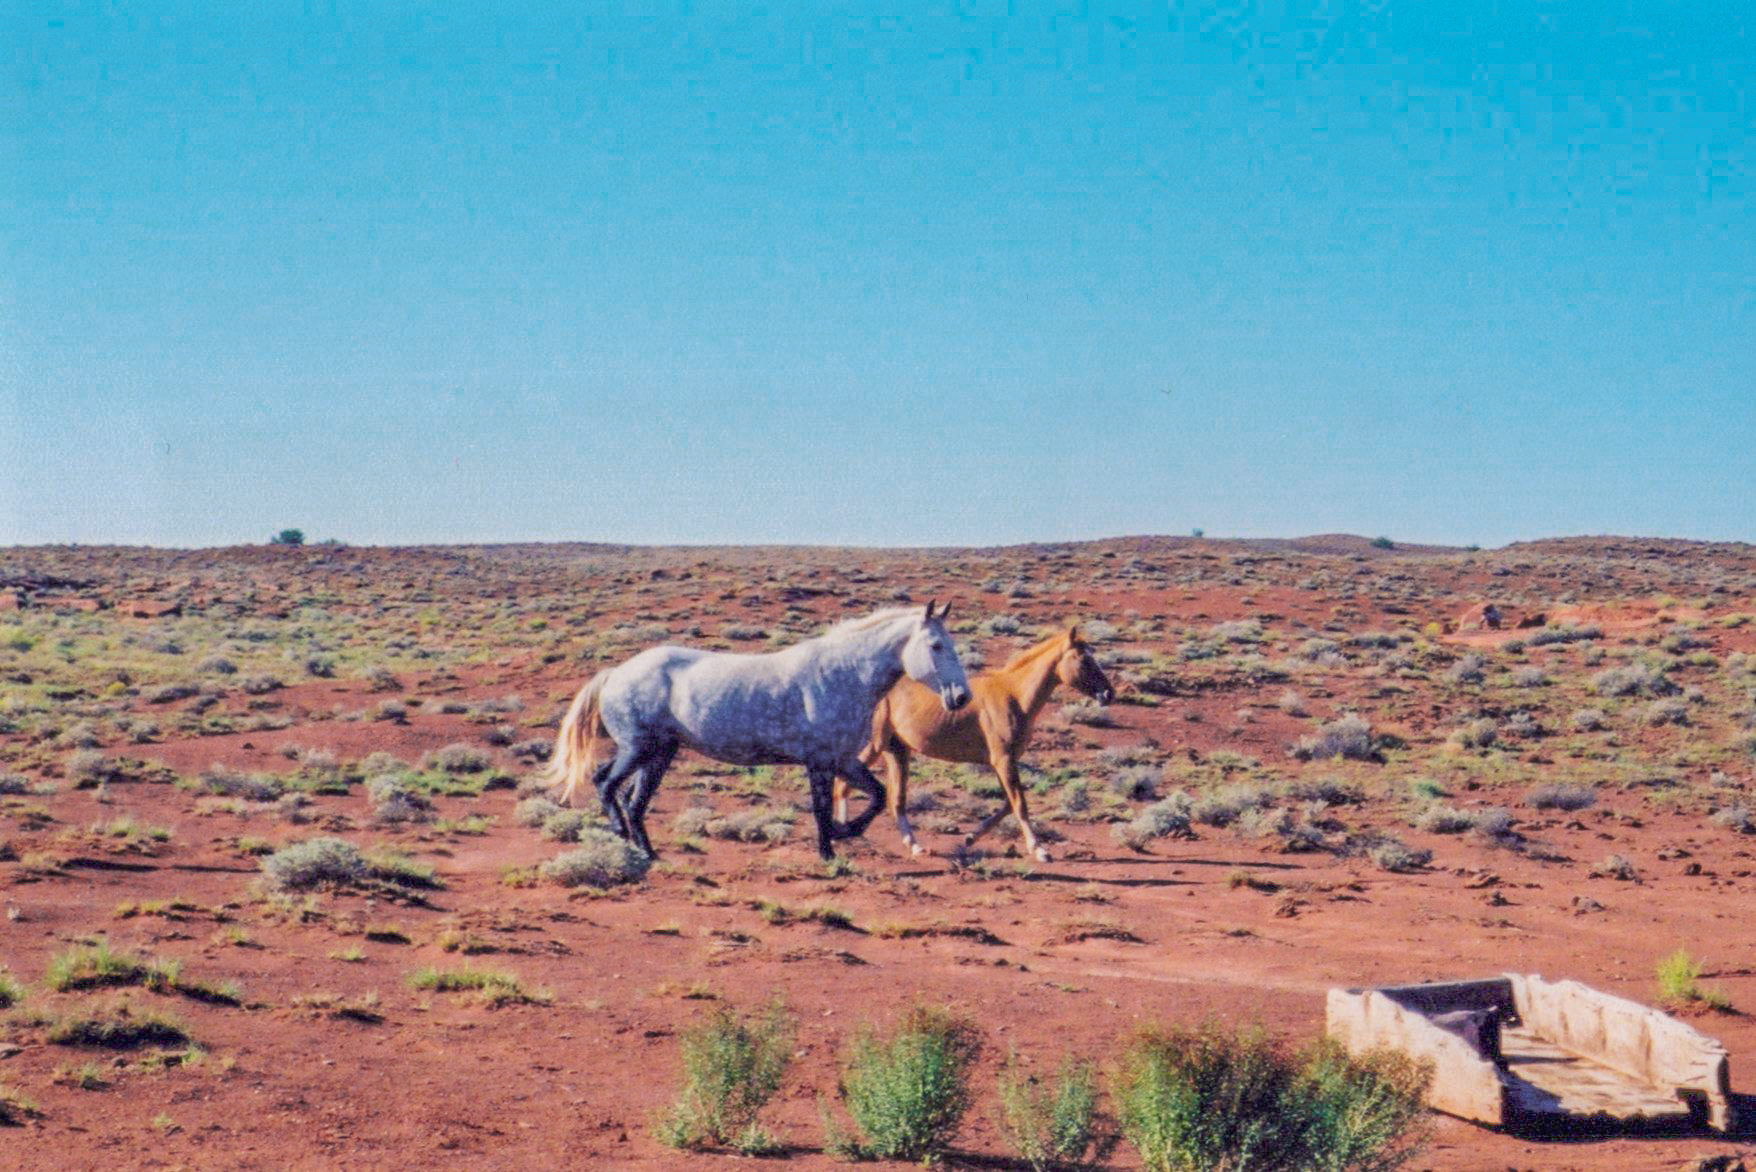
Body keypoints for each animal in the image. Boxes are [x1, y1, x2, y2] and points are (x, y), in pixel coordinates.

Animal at [541, 602, 971, 861]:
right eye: (935, 645)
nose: (961, 696)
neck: (843, 674)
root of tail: (615, 673)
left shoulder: (843, 759)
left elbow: (879, 795)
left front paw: (844, 832)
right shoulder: (820, 761)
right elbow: (821, 807)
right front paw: (829, 850)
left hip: (659, 754)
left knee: (634, 801)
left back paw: (648, 852)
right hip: (637, 749)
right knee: (606, 784)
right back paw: (623, 840)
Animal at [832, 624, 1114, 862]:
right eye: (1084, 659)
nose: (1108, 693)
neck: (1014, 696)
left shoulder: (1001, 761)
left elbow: (1007, 804)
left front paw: (970, 837)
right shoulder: (1003, 759)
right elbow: (1019, 804)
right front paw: (1040, 850)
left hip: (896, 751)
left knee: (894, 799)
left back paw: (912, 845)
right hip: (874, 746)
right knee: (842, 785)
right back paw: (840, 835)